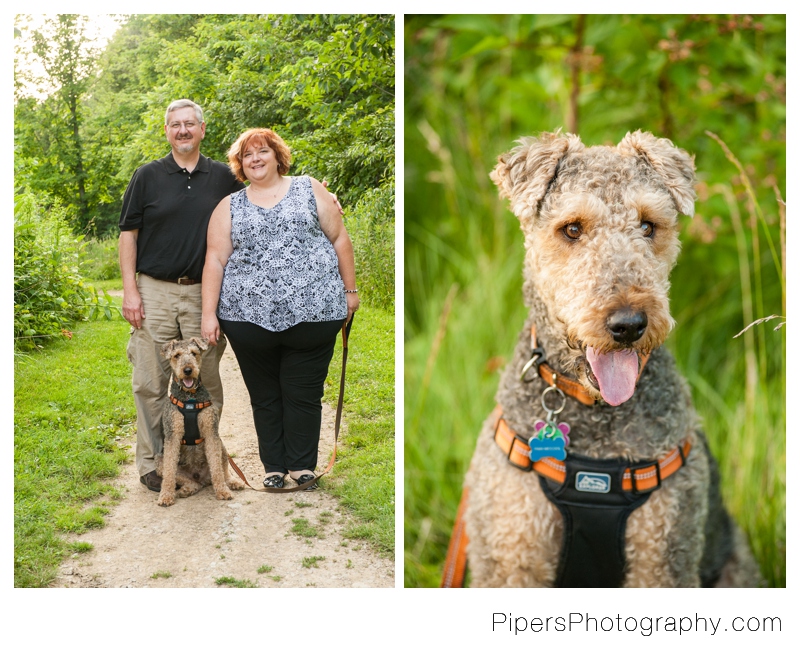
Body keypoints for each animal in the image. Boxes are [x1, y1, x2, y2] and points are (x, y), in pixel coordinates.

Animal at [155, 338, 244, 508]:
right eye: (177, 355)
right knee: (187, 481)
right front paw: (166, 496)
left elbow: (217, 468)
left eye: (194, 353)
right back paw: (186, 489)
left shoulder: (211, 433)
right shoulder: (173, 435)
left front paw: (222, 491)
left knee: (223, 470)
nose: (188, 370)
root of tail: (201, 477)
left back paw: (233, 482)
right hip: (159, 460)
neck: (190, 398)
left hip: (221, 445)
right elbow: (169, 472)